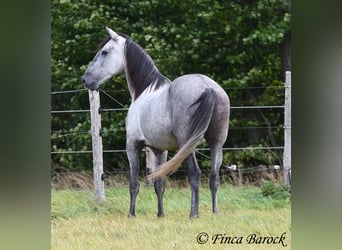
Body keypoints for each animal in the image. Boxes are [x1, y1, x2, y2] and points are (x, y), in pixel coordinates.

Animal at [82, 27, 230, 218]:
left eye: (104, 52)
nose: (85, 79)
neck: (145, 91)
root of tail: (208, 87)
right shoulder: (160, 150)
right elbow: (159, 183)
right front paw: (160, 214)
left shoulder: (132, 146)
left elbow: (134, 184)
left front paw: (131, 215)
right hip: (216, 143)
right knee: (214, 177)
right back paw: (214, 213)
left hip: (187, 143)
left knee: (194, 174)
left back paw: (194, 214)